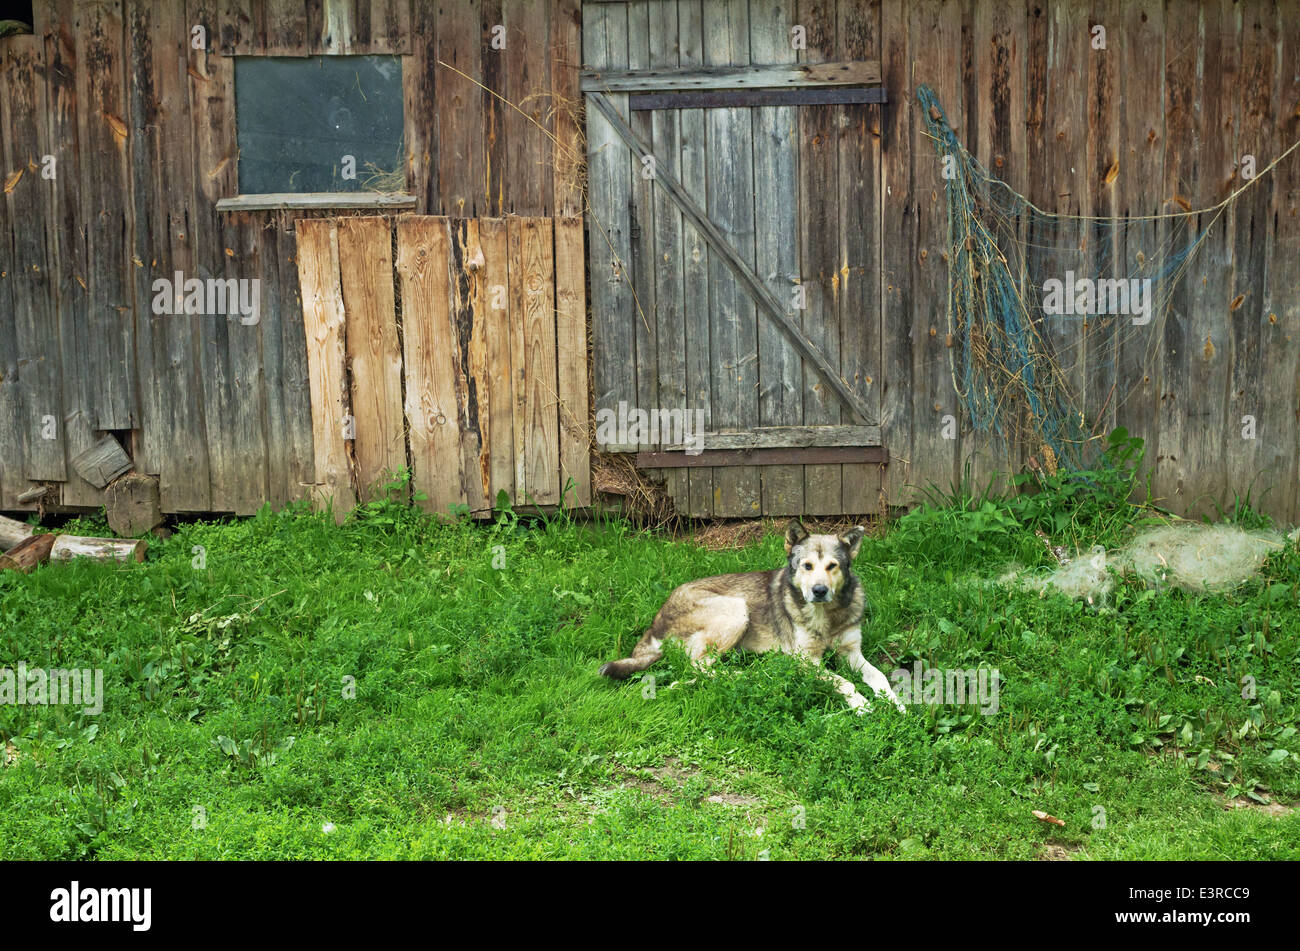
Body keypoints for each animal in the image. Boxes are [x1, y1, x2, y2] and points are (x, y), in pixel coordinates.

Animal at [598, 519, 904, 711]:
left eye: (832, 566)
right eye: (806, 566)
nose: (819, 591)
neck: (826, 615)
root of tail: (656, 622)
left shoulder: (851, 652)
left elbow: (880, 677)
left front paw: (895, 703)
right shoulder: (806, 660)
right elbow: (843, 681)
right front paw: (861, 704)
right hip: (736, 609)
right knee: (700, 665)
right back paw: (751, 675)